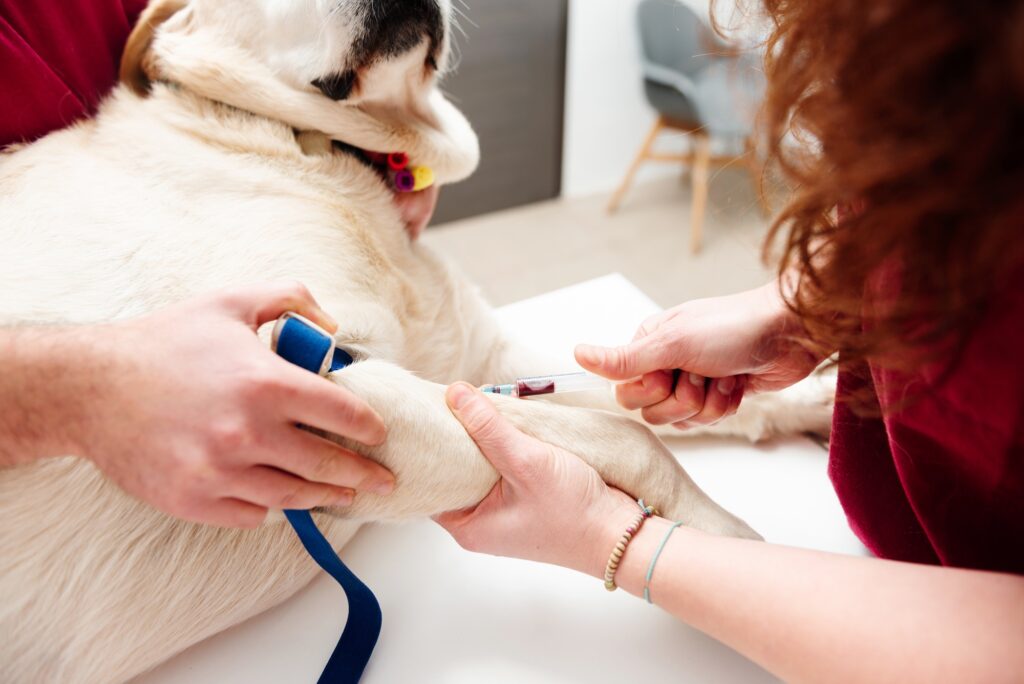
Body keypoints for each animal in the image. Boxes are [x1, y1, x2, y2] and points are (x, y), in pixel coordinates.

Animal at [0, 2, 831, 679]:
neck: (312, 148)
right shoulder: (309, 387)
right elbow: (632, 439)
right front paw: (734, 550)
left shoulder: (482, 360)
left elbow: (638, 399)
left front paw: (815, 400)